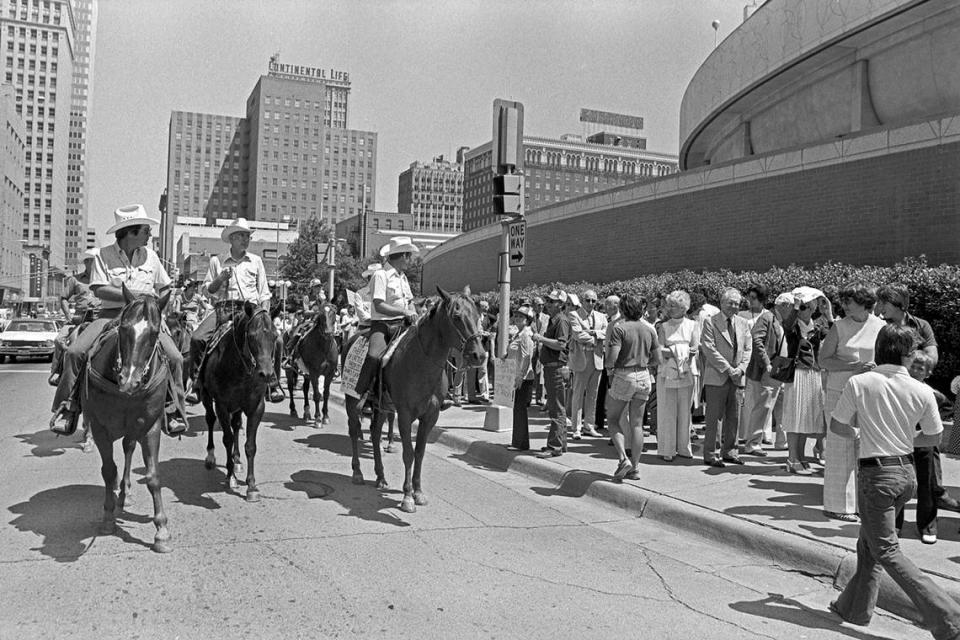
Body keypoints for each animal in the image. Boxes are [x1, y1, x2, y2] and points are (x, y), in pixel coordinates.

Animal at [82, 288, 174, 552]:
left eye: (154, 332)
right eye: (123, 328)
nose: (129, 380)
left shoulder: (151, 426)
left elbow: (153, 476)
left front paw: (161, 531)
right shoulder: (99, 427)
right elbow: (108, 470)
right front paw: (108, 518)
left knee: (128, 448)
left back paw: (125, 493)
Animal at [199, 302, 280, 502]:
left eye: (275, 336)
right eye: (251, 336)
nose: (267, 374)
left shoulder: (256, 407)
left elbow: (250, 446)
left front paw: (251, 487)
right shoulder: (221, 405)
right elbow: (226, 438)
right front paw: (231, 477)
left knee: (236, 425)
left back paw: (236, 460)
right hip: (207, 398)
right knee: (210, 420)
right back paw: (211, 457)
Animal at [344, 288, 488, 512]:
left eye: (478, 315)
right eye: (456, 316)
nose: (479, 355)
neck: (422, 362)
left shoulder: (430, 415)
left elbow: (420, 452)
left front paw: (418, 492)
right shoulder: (405, 414)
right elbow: (408, 453)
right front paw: (407, 497)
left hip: (382, 407)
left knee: (375, 434)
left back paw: (381, 477)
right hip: (354, 401)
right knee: (353, 430)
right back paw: (357, 473)